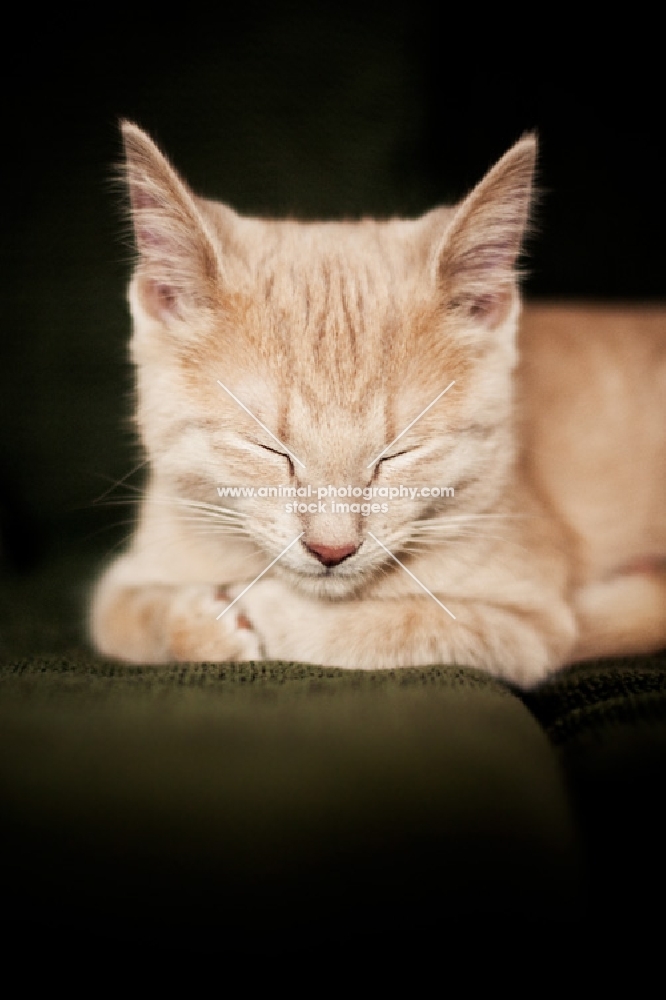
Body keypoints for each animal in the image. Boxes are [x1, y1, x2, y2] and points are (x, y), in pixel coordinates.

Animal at [88, 121, 664, 688]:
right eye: (268, 449)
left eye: (400, 454)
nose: (332, 550)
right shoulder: (126, 576)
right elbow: (123, 614)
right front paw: (195, 624)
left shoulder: (530, 626)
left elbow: (402, 624)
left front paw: (268, 613)